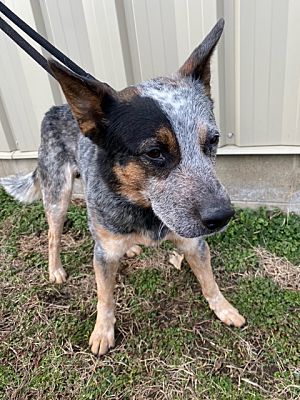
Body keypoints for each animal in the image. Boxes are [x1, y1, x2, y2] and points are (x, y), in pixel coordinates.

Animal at [0, 19, 245, 356]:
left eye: (213, 140)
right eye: (154, 152)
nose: (222, 216)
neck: (145, 210)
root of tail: (57, 109)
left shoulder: (193, 243)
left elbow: (209, 281)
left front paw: (223, 309)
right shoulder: (102, 255)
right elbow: (105, 297)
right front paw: (103, 331)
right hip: (58, 195)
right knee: (53, 235)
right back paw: (55, 270)